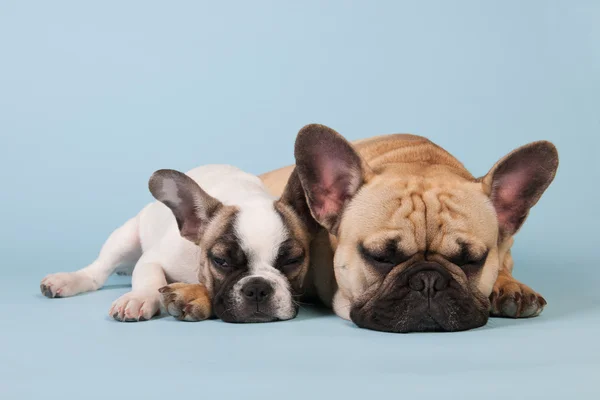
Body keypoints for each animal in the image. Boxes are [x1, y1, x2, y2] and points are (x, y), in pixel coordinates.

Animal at [39, 164, 328, 324]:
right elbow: (150, 279)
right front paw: (139, 298)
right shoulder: (153, 259)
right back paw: (67, 280)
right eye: (220, 261)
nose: (257, 288)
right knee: (97, 272)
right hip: (125, 238)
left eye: (293, 260)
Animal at [260, 124, 560, 332]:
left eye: (472, 260)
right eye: (381, 257)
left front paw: (509, 285)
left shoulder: (504, 247)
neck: (415, 158)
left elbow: (503, 264)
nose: (428, 281)